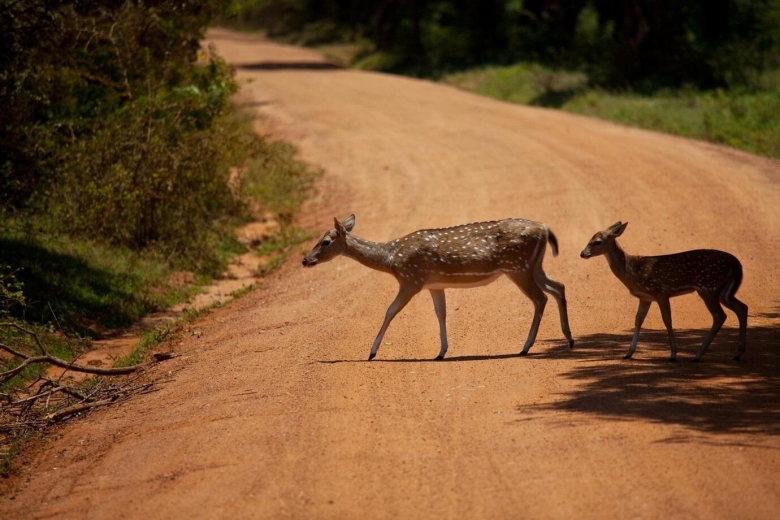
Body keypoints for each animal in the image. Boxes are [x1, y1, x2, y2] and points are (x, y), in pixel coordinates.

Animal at [304, 213, 572, 360]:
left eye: (325, 241)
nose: (305, 260)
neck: (391, 259)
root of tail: (545, 229)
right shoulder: (434, 285)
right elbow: (440, 314)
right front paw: (441, 352)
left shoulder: (411, 279)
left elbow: (390, 311)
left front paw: (371, 352)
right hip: (533, 266)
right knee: (558, 287)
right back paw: (568, 340)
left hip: (517, 267)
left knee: (540, 298)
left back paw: (525, 347)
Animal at [580, 222, 748, 362]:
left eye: (597, 242)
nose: (582, 253)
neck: (631, 271)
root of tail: (738, 265)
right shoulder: (645, 297)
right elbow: (638, 320)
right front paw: (628, 353)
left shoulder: (661, 292)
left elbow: (667, 320)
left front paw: (673, 354)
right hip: (724, 292)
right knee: (741, 308)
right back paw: (737, 354)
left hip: (709, 287)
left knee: (720, 316)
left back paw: (698, 355)